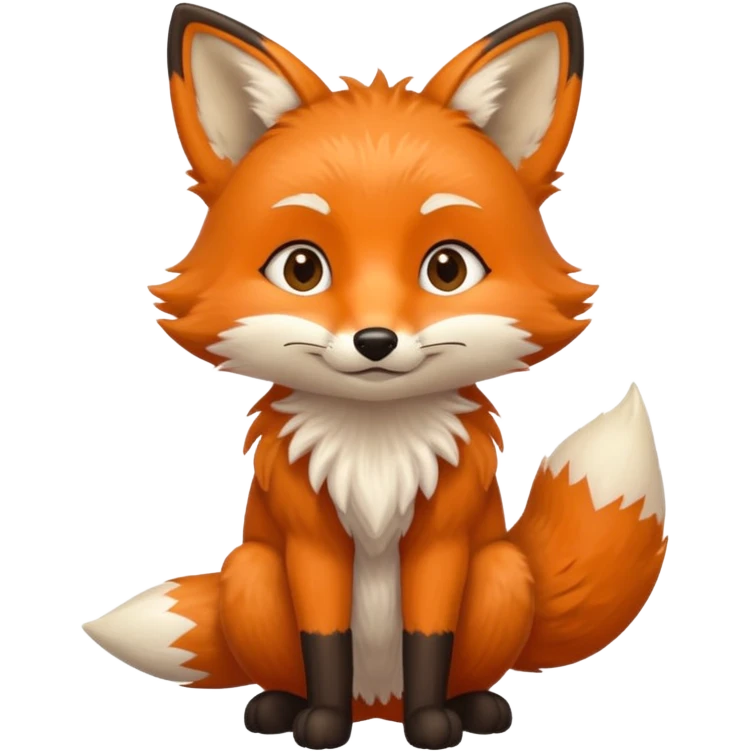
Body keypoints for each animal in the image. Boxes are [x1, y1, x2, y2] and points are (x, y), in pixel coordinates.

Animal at [82, 3, 668, 750]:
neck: (375, 449)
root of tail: (378, 704)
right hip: (251, 571)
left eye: (446, 268)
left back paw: (473, 707)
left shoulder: (442, 540)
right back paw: (280, 706)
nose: (375, 341)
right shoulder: (310, 541)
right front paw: (322, 725)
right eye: (302, 268)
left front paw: (432, 725)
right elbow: (325, 639)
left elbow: (429, 638)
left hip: (502, 571)